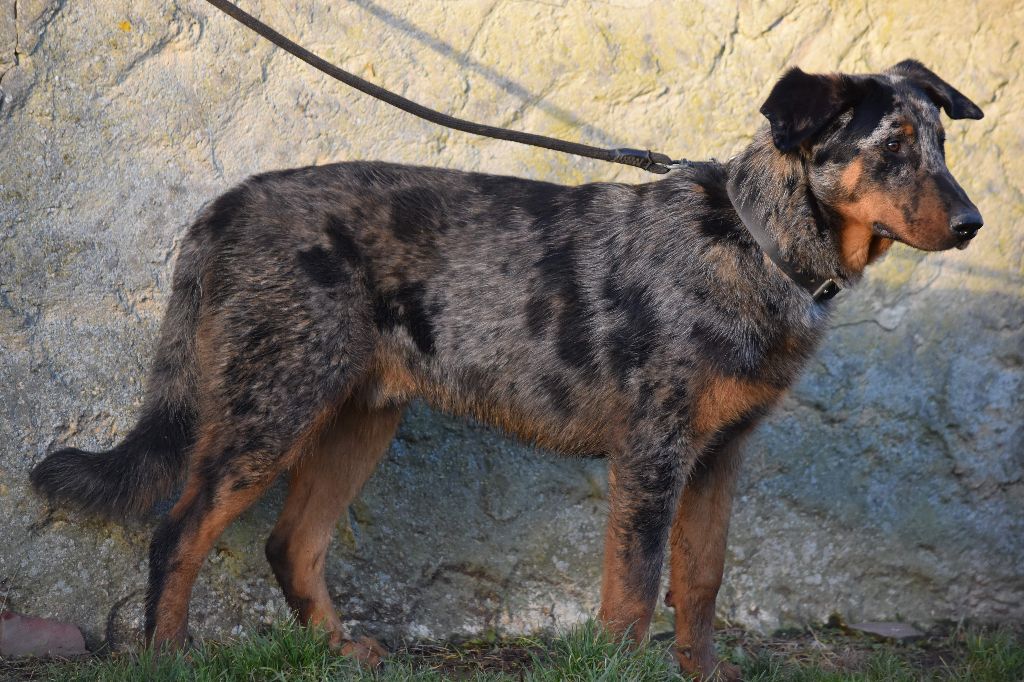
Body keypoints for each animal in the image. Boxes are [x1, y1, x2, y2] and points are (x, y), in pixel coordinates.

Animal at [32, 61, 983, 675]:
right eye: (893, 145)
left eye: (942, 142)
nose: (973, 224)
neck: (755, 241)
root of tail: (224, 206)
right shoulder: (652, 455)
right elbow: (635, 592)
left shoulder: (717, 456)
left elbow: (702, 583)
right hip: (273, 406)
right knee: (182, 529)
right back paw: (166, 655)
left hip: (358, 416)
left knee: (289, 543)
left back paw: (336, 649)